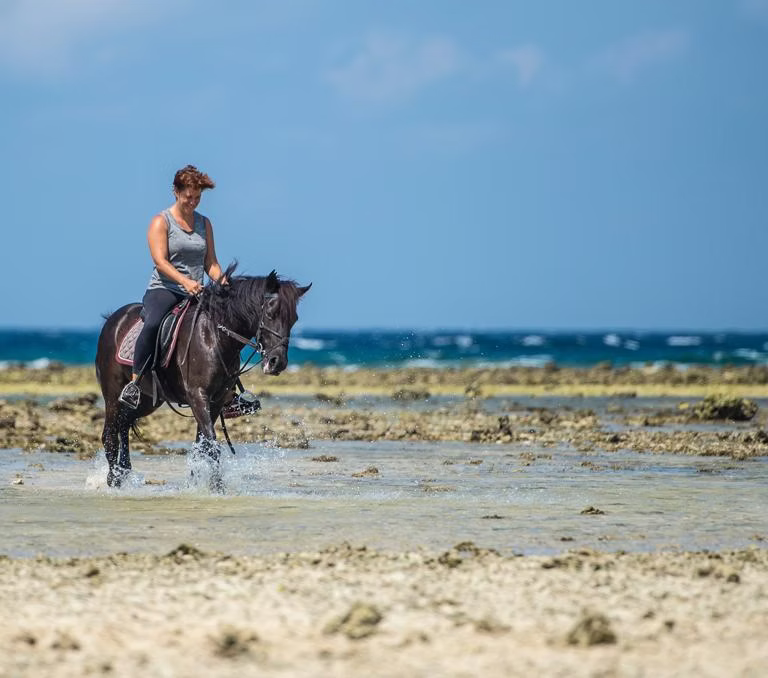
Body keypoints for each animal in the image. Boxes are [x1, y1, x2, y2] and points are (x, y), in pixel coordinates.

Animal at [95, 265, 310, 489]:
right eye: (270, 313)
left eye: (294, 319)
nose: (278, 363)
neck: (214, 335)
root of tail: (113, 320)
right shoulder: (198, 396)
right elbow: (211, 442)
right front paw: (216, 486)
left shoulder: (216, 400)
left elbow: (203, 444)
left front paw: (198, 481)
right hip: (113, 396)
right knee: (110, 434)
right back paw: (113, 479)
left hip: (147, 401)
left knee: (124, 426)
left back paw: (123, 472)